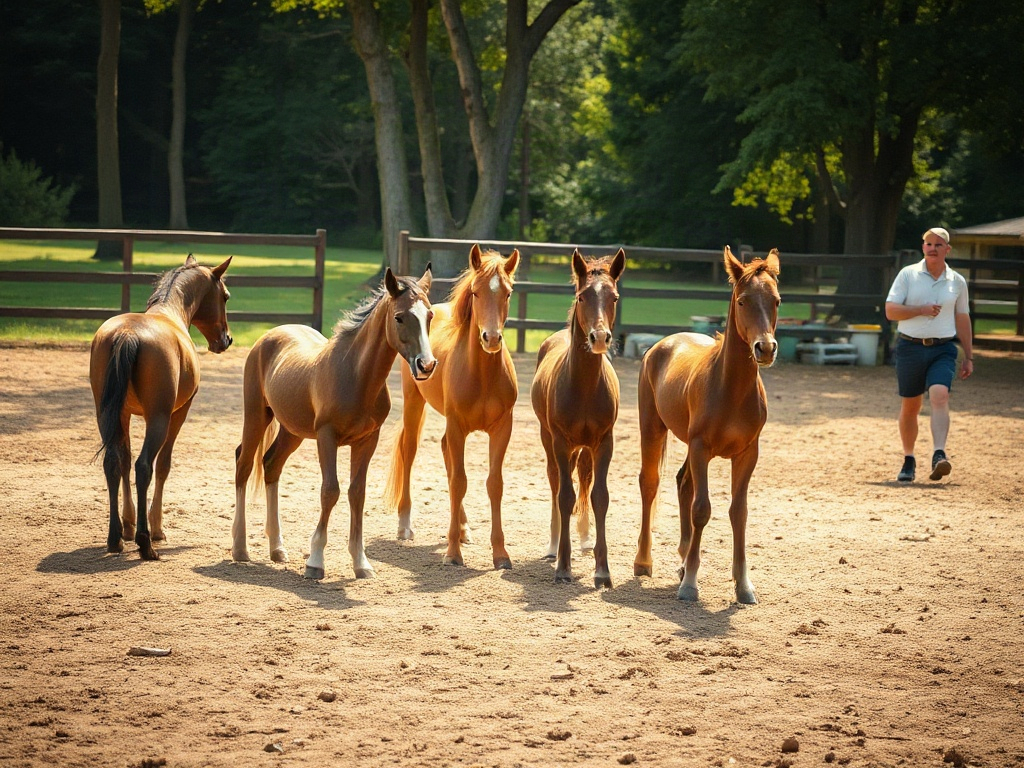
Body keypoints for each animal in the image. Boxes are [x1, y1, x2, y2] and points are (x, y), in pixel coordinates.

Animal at [90, 253, 233, 560]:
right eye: (226, 296)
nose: (227, 340)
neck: (170, 313)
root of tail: (127, 334)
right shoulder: (179, 413)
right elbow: (164, 464)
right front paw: (156, 528)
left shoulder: (124, 414)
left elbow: (123, 460)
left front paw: (128, 526)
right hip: (158, 419)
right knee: (145, 466)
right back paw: (146, 543)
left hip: (107, 415)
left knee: (113, 462)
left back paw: (115, 538)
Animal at [231, 266, 436, 580]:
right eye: (399, 317)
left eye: (430, 316)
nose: (426, 365)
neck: (355, 375)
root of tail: (269, 335)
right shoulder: (327, 437)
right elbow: (330, 491)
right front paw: (315, 562)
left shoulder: (368, 440)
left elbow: (356, 493)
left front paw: (361, 563)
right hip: (256, 415)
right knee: (243, 464)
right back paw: (240, 548)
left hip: (292, 431)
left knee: (271, 464)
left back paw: (277, 549)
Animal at [384, 244, 520, 569]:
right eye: (475, 292)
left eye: (508, 293)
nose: (491, 338)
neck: (482, 374)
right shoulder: (458, 426)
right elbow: (459, 481)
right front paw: (453, 553)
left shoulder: (502, 428)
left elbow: (494, 483)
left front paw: (500, 554)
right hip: (414, 402)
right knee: (410, 451)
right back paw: (405, 526)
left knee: (446, 452)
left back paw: (463, 527)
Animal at [530, 248, 625, 587]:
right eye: (583, 296)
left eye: (614, 297)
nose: (600, 338)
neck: (583, 386)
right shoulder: (560, 442)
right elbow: (564, 495)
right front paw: (563, 565)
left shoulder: (605, 443)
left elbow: (599, 496)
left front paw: (602, 570)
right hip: (549, 440)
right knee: (556, 481)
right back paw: (553, 545)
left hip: (585, 447)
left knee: (583, 476)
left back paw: (584, 539)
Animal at [633, 246, 780, 603]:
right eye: (742, 300)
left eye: (777, 301)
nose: (765, 348)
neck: (731, 389)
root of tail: (660, 344)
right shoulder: (702, 448)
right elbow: (701, 509)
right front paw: (689, 585)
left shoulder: (747, 454)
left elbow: (738, 512)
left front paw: (743, 585)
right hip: (653, 428)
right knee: (650, 483)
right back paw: (644, 562)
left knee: (683, 483)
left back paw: (684, 559)